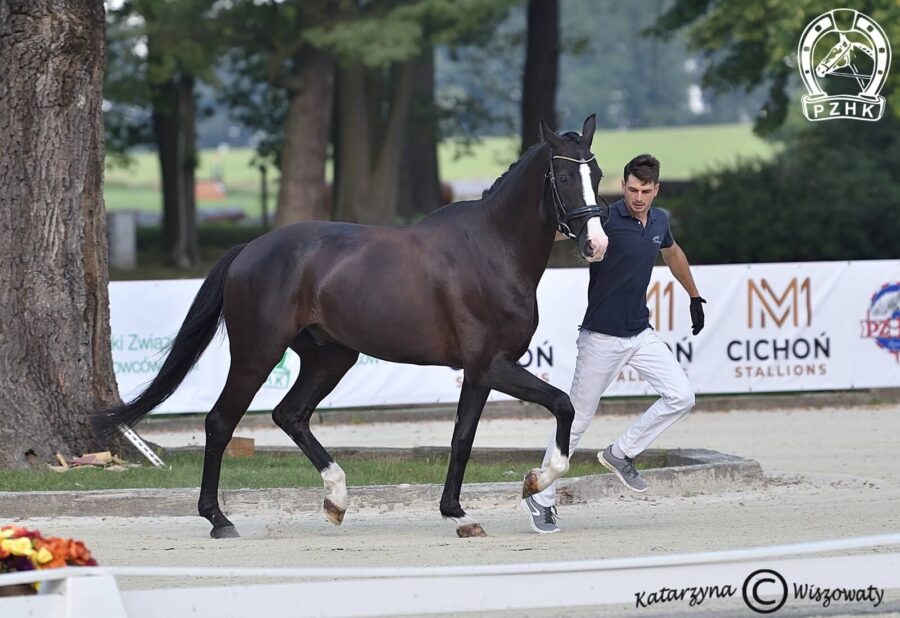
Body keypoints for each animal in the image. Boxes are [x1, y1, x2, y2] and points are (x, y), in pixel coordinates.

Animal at [93, 114, 612, 536]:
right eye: (566, 175)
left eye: (599, 174)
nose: (597, 244)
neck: (492, 249)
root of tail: (249, 250)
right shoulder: (491, 364)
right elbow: (562, 404)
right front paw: (535, 480)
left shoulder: (480, 372)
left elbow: (462, 437)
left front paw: (457, 513)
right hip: (257, 355)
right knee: (221, 421)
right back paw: (219, 519)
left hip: (331, 357)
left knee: (290, 415)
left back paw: (336, 498)